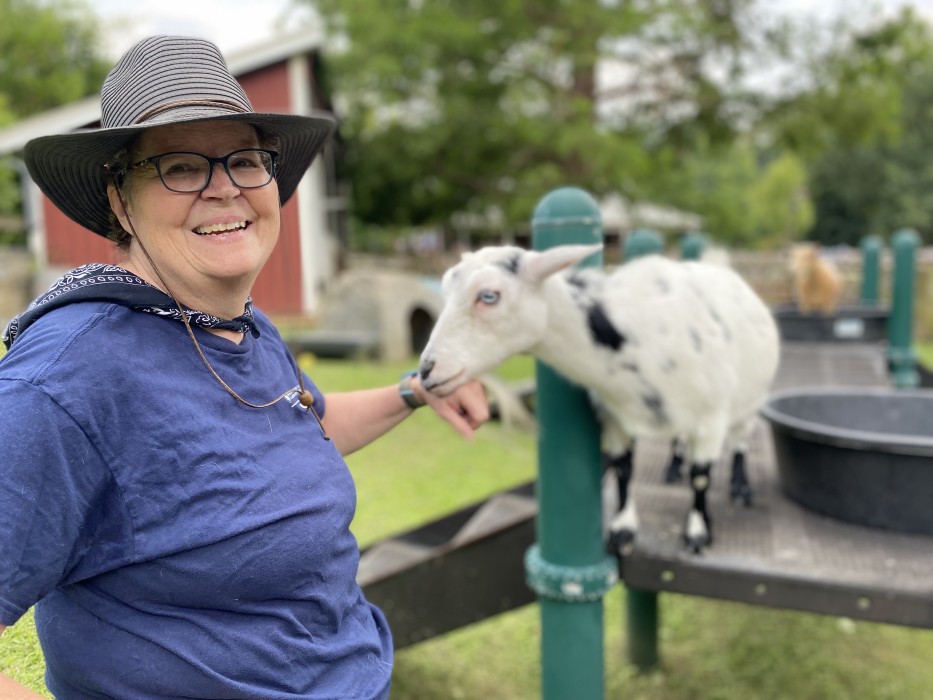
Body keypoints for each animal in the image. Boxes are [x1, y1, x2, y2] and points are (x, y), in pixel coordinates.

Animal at [416, 243, 780, 556]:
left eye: (489, 295)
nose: (426, 371)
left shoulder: (710, 419)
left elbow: (701, 476)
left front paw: (698, 532)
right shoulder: (614, 417)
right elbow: (623, 469)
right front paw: (623, 528)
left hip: (750, 399)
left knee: (741, 441)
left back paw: (740, 488)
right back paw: (673, 468)